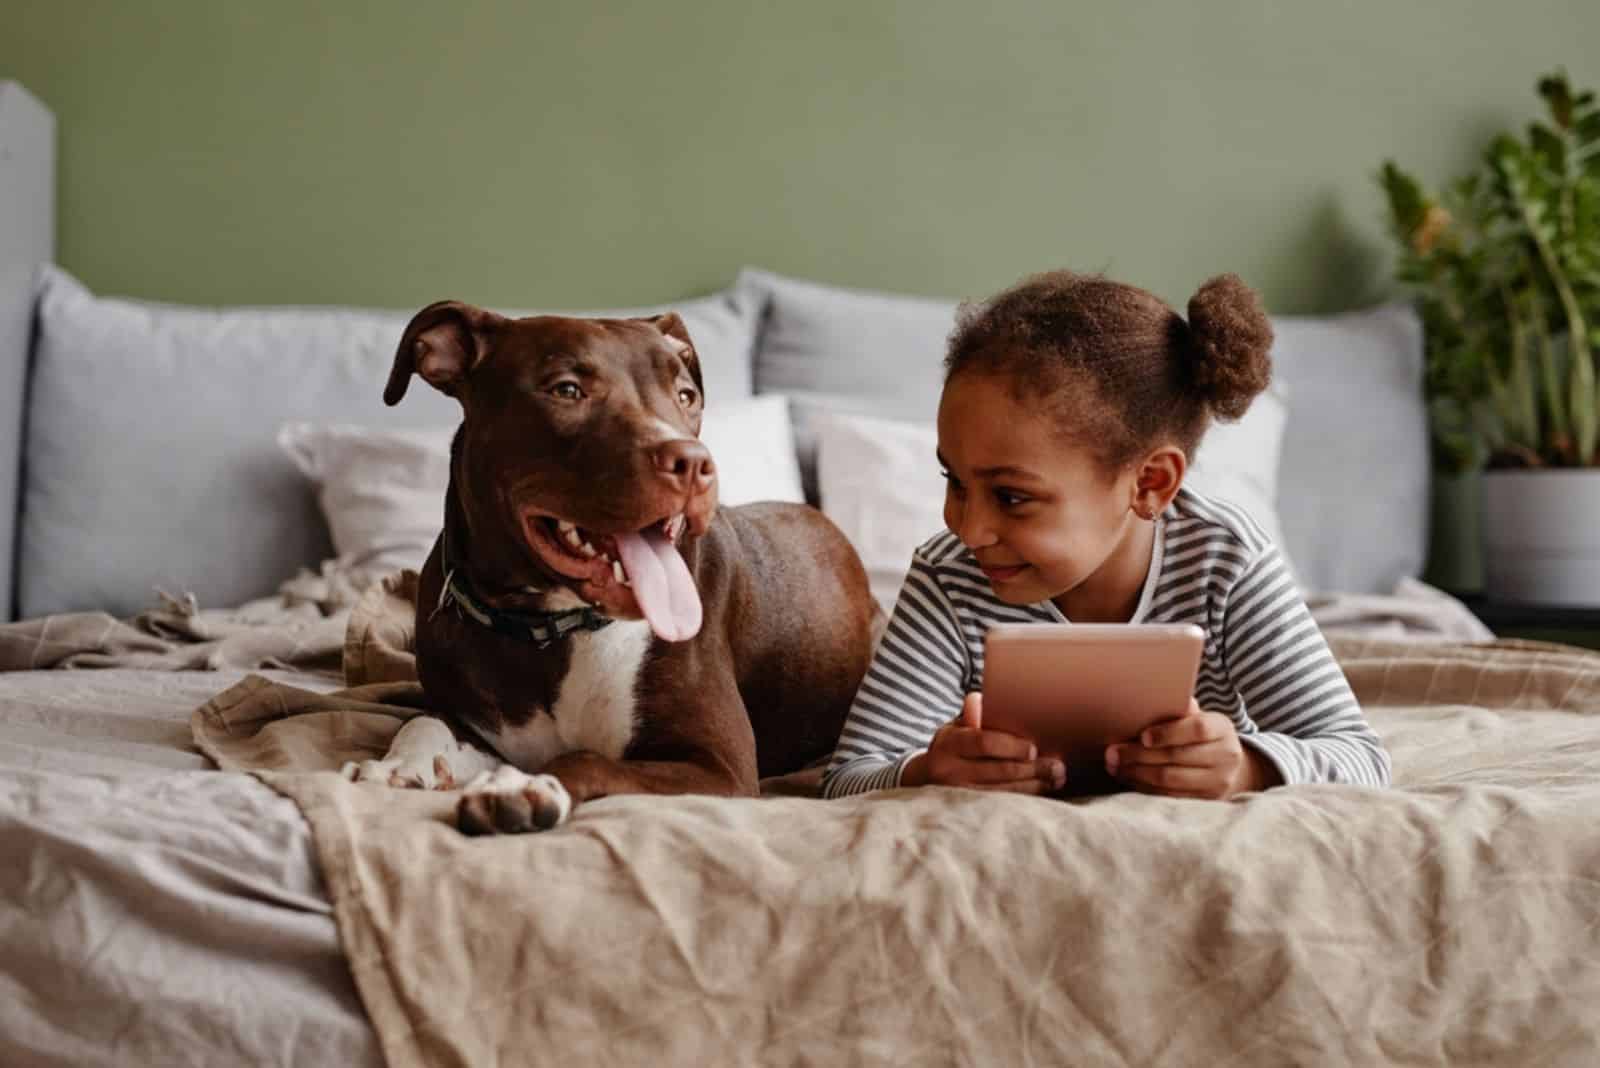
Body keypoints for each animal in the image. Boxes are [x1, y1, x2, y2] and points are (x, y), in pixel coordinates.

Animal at [344, 298, 883, 831]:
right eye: (567, 390)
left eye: (686, 395)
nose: (694, 462)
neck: (544, 628)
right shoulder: (469, 720)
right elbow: (423, 722)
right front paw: (399, 765)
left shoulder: (720, 766)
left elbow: (587, 759)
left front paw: (525, 786)